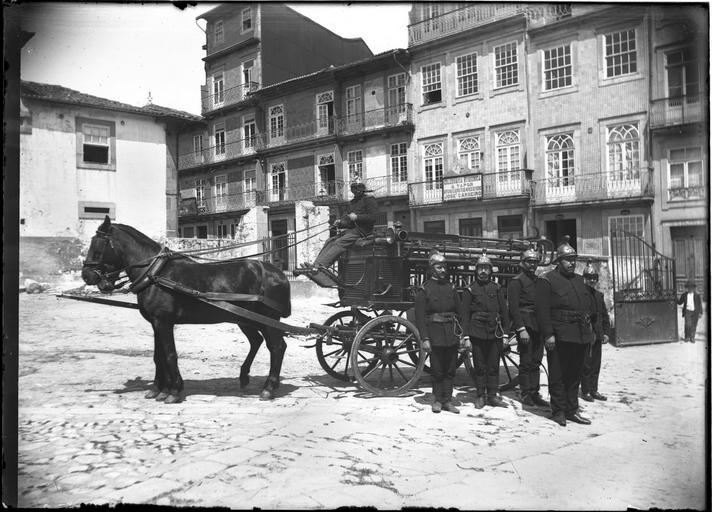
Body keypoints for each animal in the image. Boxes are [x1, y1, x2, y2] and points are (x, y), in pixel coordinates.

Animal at [81, 215, 291, 404]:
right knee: (257, 341)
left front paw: (173, 391)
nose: (86, 275)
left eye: (98, 246)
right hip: (246, 319)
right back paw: (245, 377)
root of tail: (278, 273)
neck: (156, 273)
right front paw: (158, 389)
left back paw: (268, 388)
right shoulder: (156, 324)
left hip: (267, 321)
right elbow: (158, 356)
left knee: (277, 347)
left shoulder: (164, 322)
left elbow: (170, 355)